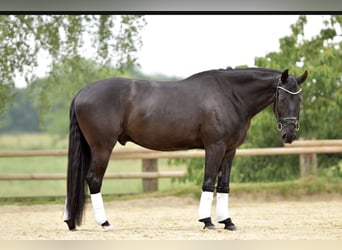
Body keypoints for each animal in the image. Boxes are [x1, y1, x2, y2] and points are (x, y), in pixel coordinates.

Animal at [63, 66, 308, 230]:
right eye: (282, 97)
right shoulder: (215, 147)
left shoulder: (230, 150)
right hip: (102, 147)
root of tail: (82, 92)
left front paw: (227, 221)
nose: (289, 135)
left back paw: (70, 221)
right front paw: (207, 221)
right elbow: (209, 181)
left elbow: (224, 185)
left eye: (300, 100)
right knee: (93, 179)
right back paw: (104, 222)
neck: (229, 95)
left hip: (90, 148)